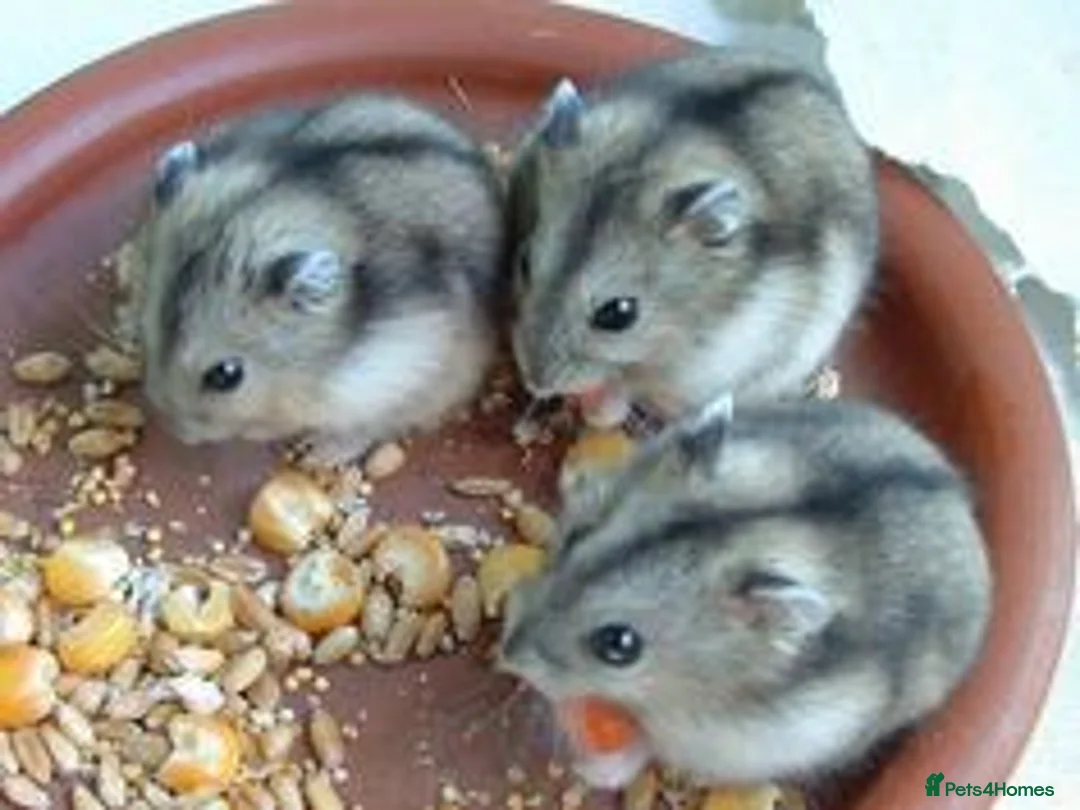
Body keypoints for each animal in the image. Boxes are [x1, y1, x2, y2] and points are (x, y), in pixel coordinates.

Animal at [134, 94, 505, 465]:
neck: (318, 364)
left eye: (226, 375)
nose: (179, 434)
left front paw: (317, 453)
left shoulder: (408, 373)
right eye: (146, 332)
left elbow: (369, 424)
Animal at [498, 398, 992, 789]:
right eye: (577, 535)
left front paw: (591, 772)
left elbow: (647, 747)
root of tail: (964, 509)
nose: (506, 654)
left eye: (619, 645)